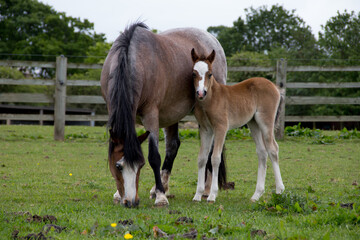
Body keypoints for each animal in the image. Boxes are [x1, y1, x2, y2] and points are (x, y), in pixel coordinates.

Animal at [100, 21, 226, 207]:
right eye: (118, 166)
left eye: (140, 165)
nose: (132, 202)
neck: (131, 59)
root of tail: (212, 40)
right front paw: (119, 193)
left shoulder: (151, 115)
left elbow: (154, 156)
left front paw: (161, 197)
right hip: (171, 114)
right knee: (173, 146)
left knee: (210, 151)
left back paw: (207, 190)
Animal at [191, 48, 284, 202]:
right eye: (194, 73)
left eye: (210, 74)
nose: (200, 93)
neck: (211, 98)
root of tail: (275, 87)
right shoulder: (205, 129)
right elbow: (202, 158)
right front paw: (197, 195)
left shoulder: (221, 127)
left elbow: (215, 158)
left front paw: (212, 195)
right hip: (253, 123)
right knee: (262, 152)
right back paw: (257, 194)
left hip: (265, 122)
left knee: (273, 149)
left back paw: (279, 191)